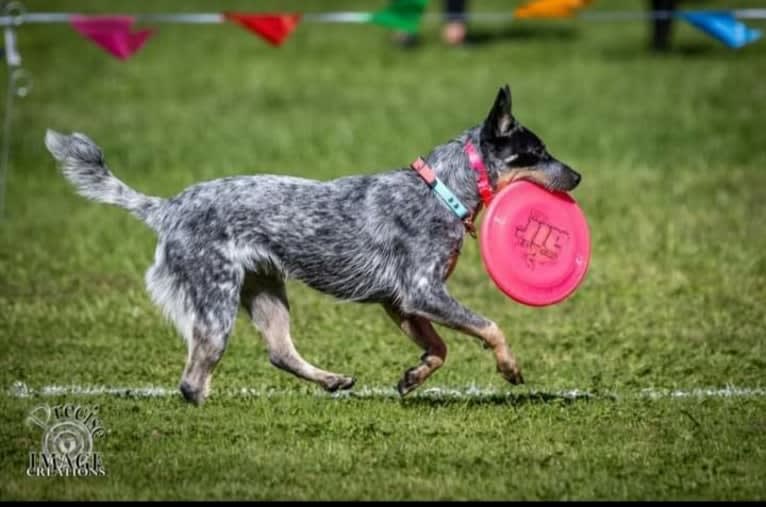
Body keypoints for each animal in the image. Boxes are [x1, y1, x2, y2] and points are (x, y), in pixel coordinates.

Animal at [43, 86, 584, 404]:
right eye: (537, 152)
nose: (578, 176)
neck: (442, 190)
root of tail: (166, 207)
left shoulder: (401, 302)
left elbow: (440, 347)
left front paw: (412, 377)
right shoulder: (422, 291)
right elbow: (490, 326)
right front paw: (510, 368)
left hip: (265, 292)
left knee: (280, 352)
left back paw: (331, 381)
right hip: (216, 303)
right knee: (193, 378)